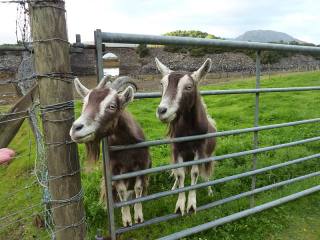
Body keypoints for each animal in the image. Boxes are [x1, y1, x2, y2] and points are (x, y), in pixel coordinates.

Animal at [69, 77, 151, 227]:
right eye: (84, 103)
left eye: (112, 106)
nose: (76, 128)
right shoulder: (114, 169)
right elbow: (121, 191)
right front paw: (127, 219)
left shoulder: (143, 164)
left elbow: (138, 188)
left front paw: (138, 216)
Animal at [154, 58, 216, 216]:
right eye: (162, 84)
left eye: (188, 87)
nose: (162, 111)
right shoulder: (176, 150)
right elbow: (180, 174)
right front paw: (180, 204)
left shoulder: (200, 149)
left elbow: (195, 173)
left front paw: (192, 205)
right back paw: (174, 188)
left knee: (205, 173)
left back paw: (209, 190)